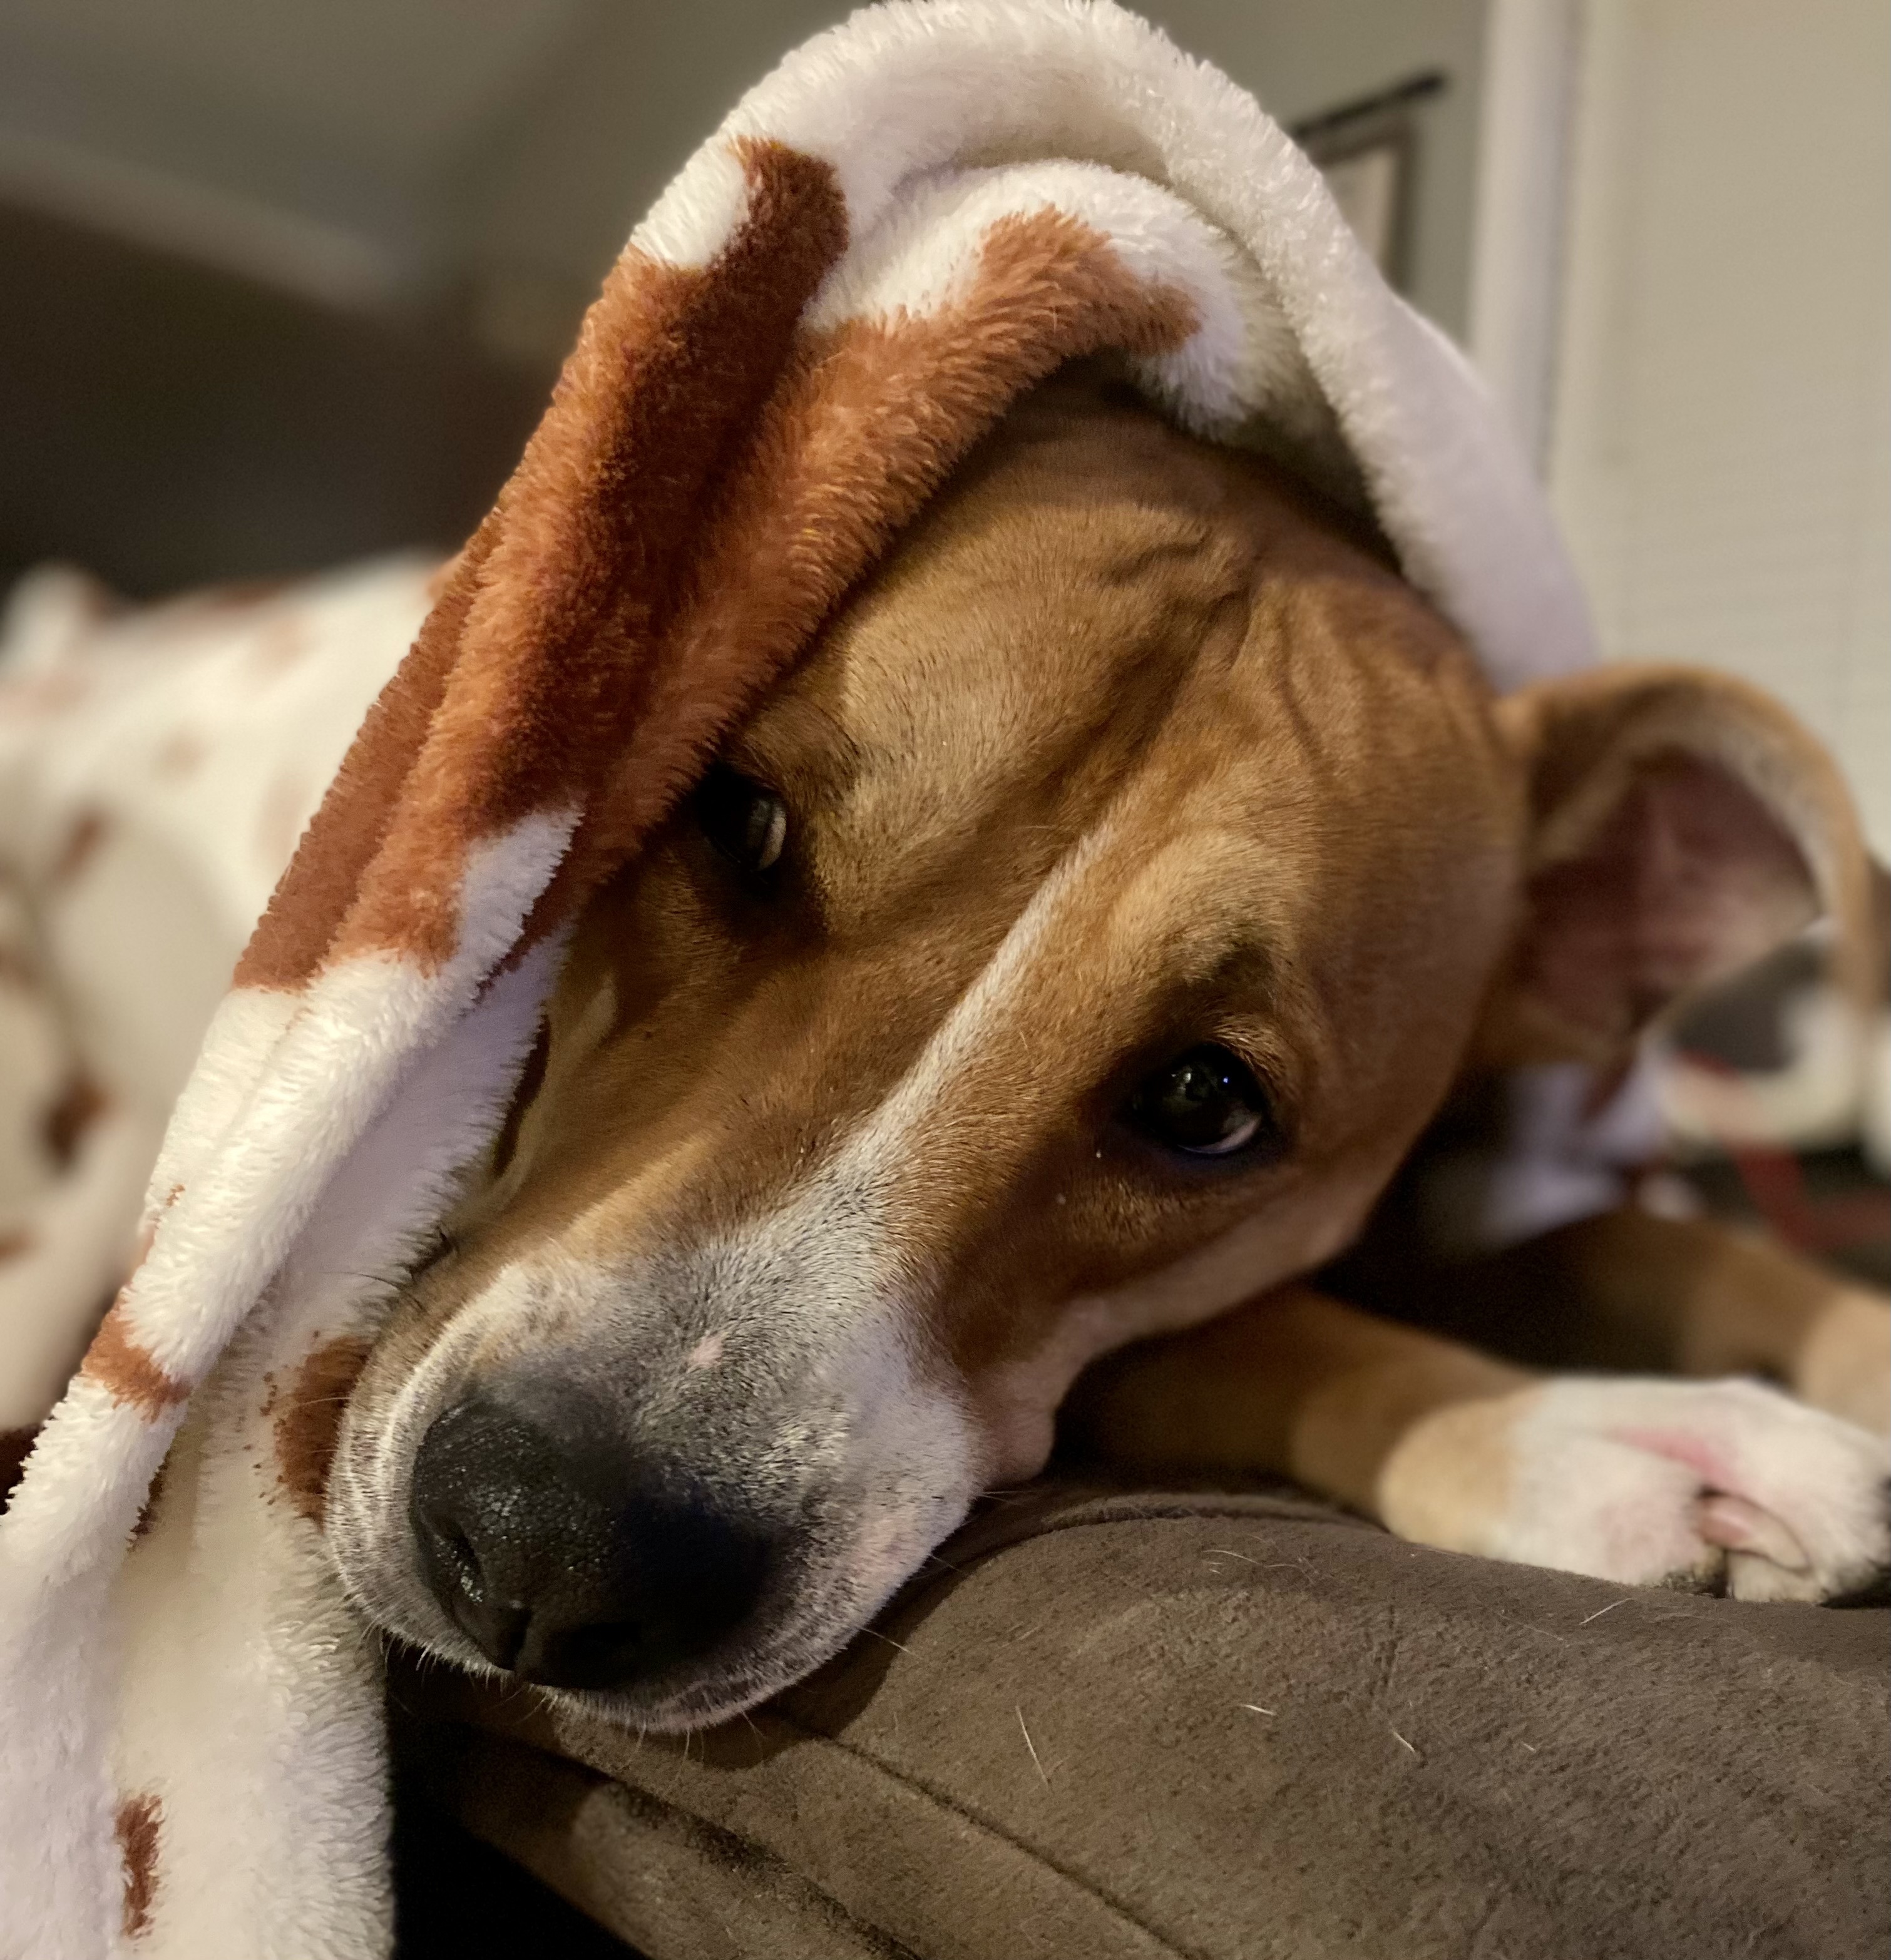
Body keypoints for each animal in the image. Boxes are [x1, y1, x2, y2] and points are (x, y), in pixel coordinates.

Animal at [3, 368, 1888, 1732]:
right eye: (742, 824)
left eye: (1207, 1102)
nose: (553, 1545)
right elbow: (1263, 1330)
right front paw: (1600, 1440)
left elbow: (1652, 1238)